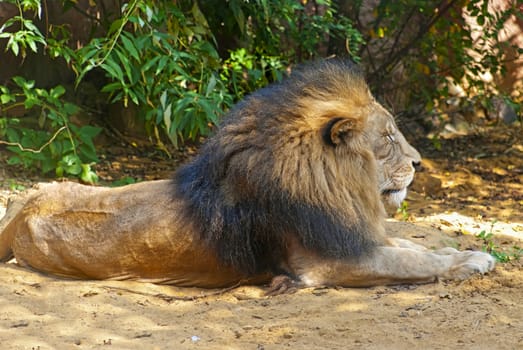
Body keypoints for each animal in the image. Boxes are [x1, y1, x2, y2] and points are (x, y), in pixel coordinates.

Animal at [0, 59, 494, 290]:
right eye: (389, 138)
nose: (419, 163)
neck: (342, 188)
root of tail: (25, 205)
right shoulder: (328, 261)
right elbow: (411, 261)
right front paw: (471, 261)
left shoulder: (353, 234)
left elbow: (411, 246)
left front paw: (459, 250)